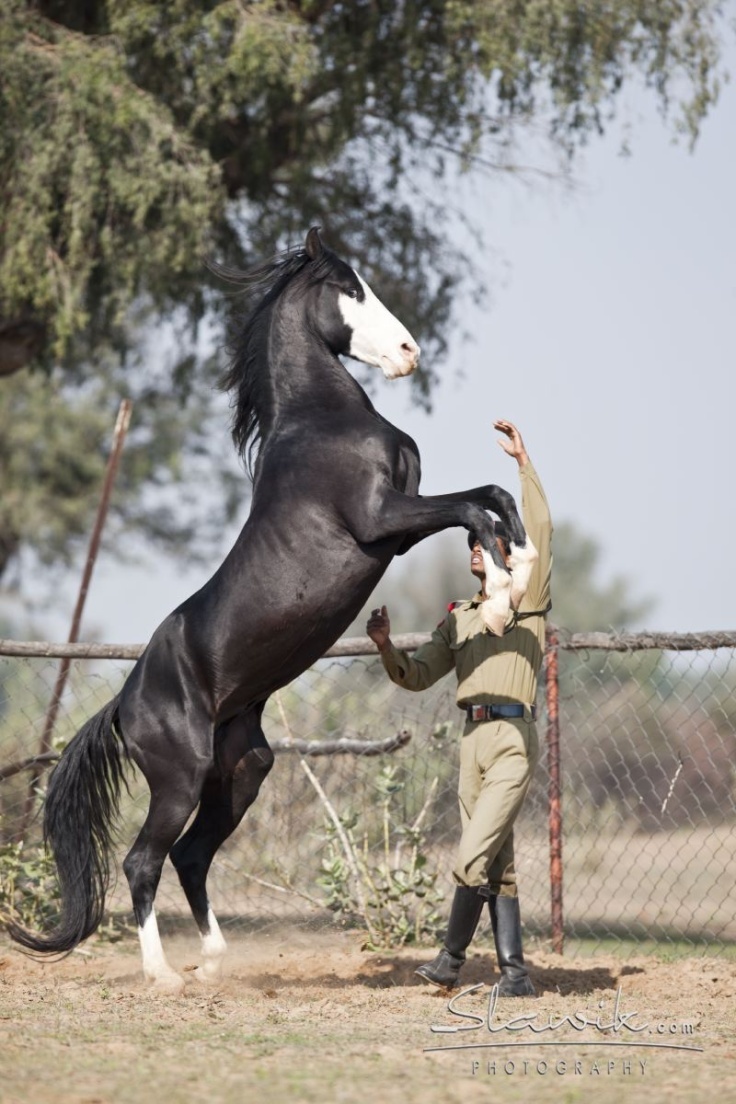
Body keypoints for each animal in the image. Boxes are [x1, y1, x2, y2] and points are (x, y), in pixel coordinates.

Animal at [8, 227, 536, 991]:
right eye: (349, 288)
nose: (408, 353)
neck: (322, 422)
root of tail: (125, 704)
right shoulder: (382, 519)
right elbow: (473, 505)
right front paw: (499, 595)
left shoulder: (402, 526)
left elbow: (489, 500)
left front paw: (517, 567)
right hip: (179, 779)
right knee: (143, 860)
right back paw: (164, 976)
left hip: (242, 771)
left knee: (191, 856)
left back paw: (213, 963)